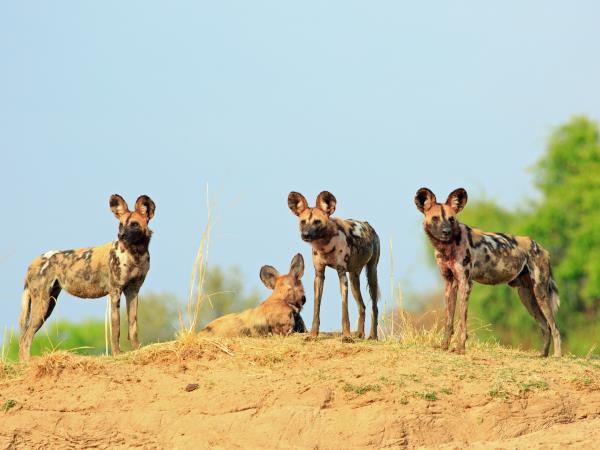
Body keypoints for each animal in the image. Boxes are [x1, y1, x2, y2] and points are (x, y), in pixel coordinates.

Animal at [18, 195, 156, 360]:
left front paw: (137, 349)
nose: (121, 236)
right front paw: (117, 354)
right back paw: (27, 363)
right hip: (42, 305)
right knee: (25, 338)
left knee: (24, 337)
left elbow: (133, 325)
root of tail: (33, 262)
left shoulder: (133, 291)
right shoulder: (115, 292)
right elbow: (116, 328)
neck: (135, 254)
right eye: (121, 225)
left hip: (49, 304)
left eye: (134, 224)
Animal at [288, 190, 380, 342]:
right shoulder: (319, 275)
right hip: (354, 280)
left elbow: (344, 311)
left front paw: (346, 336)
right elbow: (316, 308)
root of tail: (368, 225)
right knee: (362, 307)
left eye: (317, 222)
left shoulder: (341, 274)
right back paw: (360, 334)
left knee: (374, 307)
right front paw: (313, 335)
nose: (305, 235)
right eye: (303, 222)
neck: (324, 245)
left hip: (371, 274)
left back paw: (373, 336)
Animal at [414, 188, 560, 356]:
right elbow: (449, 320)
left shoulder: (465, 283)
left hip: (540, 293)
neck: (447, 248)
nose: (446, 231)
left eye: (451, 219)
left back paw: (557, 356)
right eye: (435, 218)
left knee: (555, 328)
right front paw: (444, 346)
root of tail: (541, 248)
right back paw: (543, 355)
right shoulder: (450, 283)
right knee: (546, 327)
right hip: (526, 296)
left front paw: (460, 348)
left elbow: (462, 321)